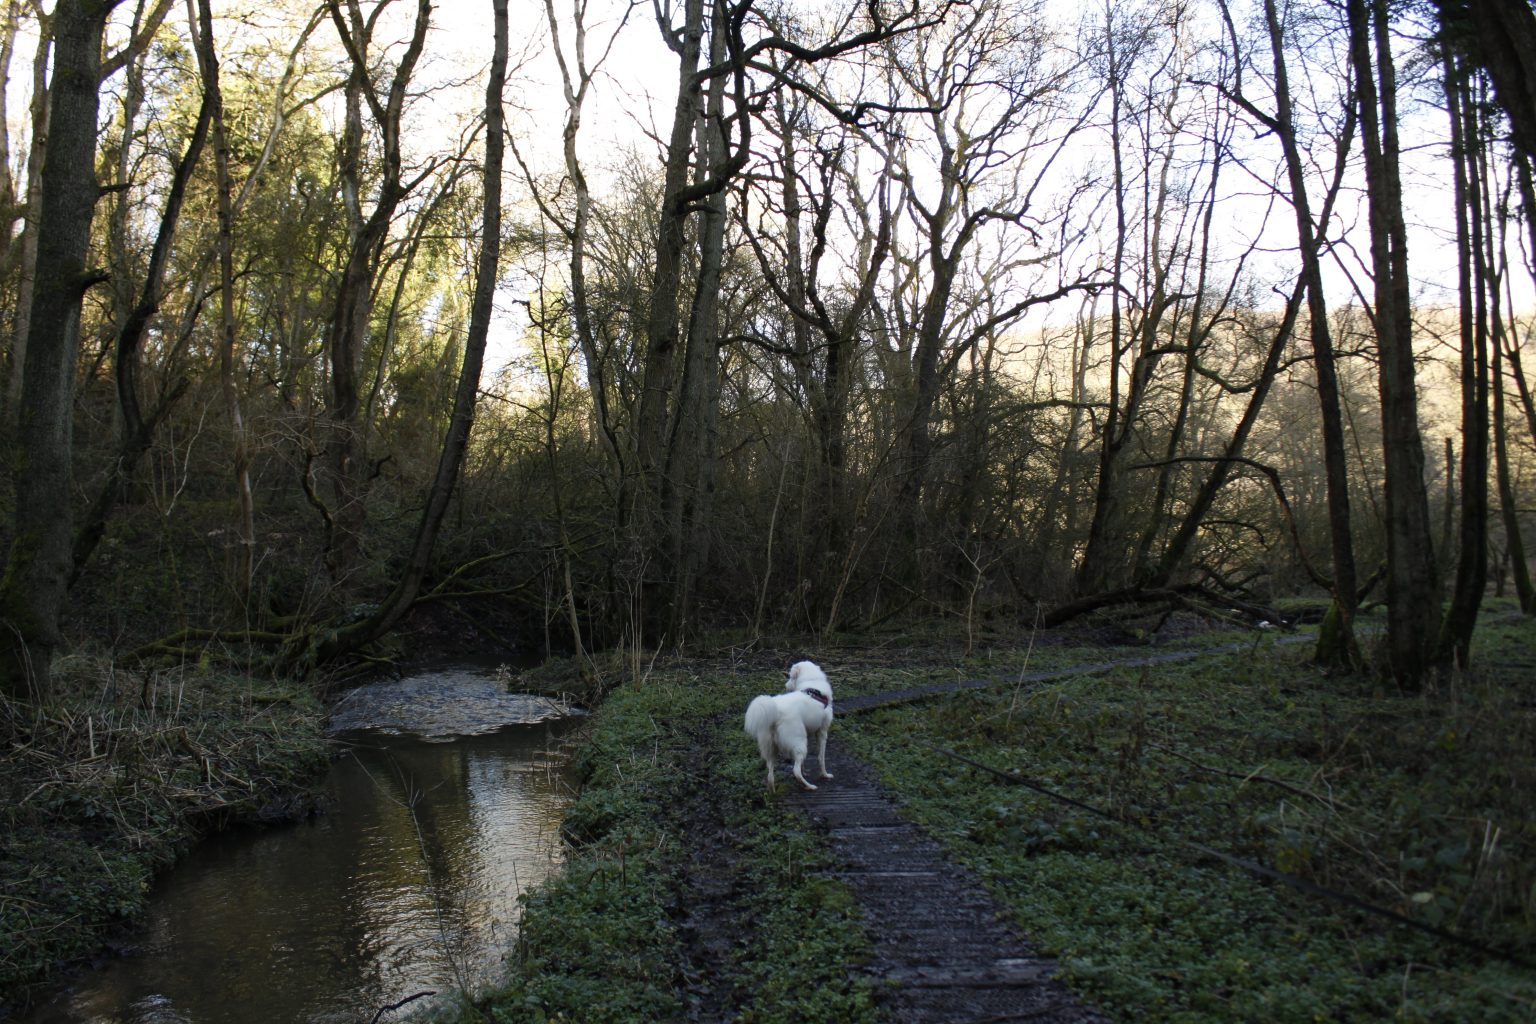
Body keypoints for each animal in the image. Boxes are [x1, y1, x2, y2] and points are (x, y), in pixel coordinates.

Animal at [740, 660, 835, 798]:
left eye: (790, 676)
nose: (785, 686)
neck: (811, 682)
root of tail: (775, 711)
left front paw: (806, 771)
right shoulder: (822, 732)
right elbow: (821, 758)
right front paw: (825, 775)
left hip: (771, 749)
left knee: (770, 775)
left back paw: (773, 792)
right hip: (799, 742)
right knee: (795, 771)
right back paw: (809, 786)